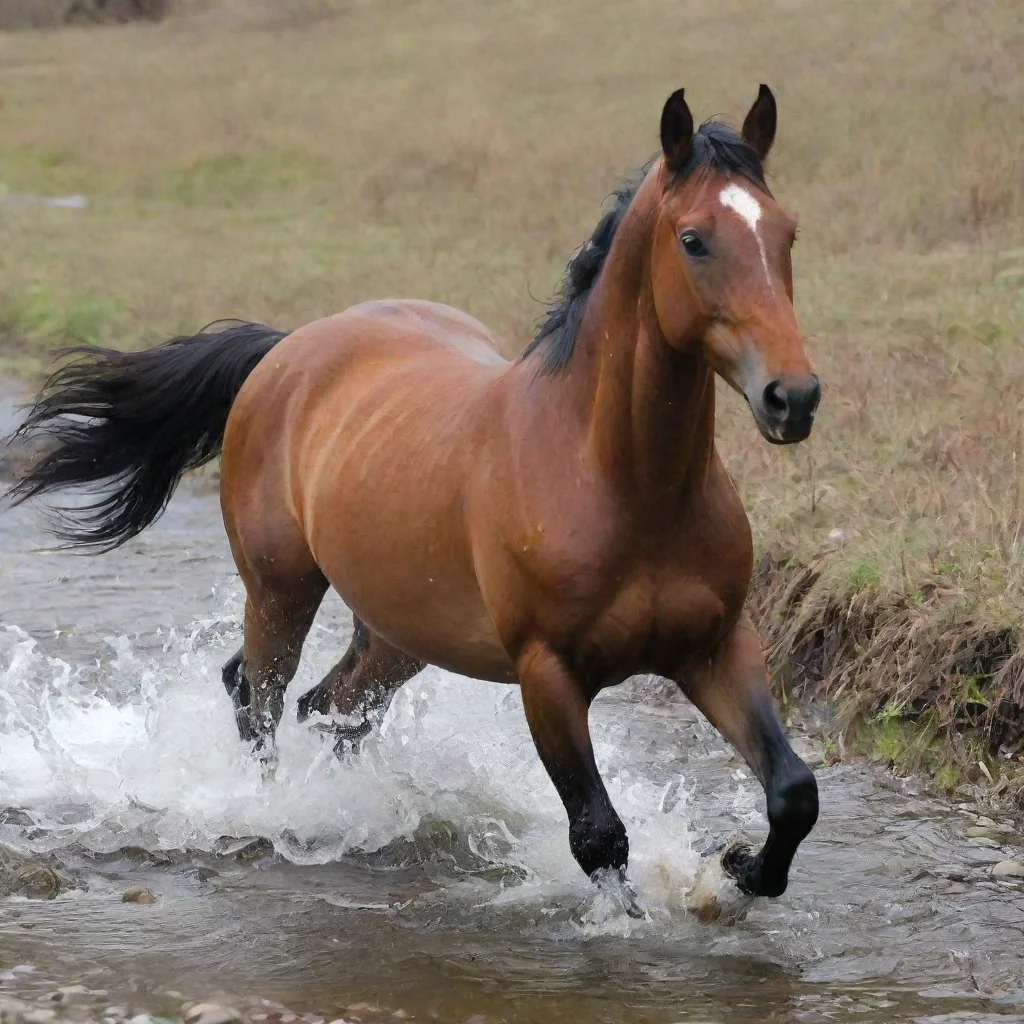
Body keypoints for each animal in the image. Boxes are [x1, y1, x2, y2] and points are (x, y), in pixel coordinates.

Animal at [7, 84, 820, 906]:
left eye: (787, 233)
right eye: (693, 240)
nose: (793, 397)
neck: (622, 485)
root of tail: (288, 346)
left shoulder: (715, 648)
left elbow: (793, 793)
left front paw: (734, 870)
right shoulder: (548, 674)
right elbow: (599, 835)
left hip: (403, 630)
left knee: (329, 710)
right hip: (281, 590)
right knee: (258, 696)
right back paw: (268, 812)